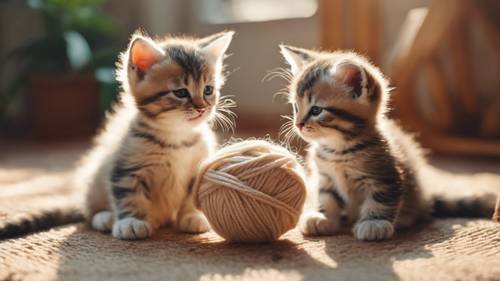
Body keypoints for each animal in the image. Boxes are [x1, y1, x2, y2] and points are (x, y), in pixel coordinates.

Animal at [75, 31, 234, 240]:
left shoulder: (198, 167)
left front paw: (192, 216)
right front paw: (131, 221)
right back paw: (105, 217)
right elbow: (129, 193)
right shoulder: (127, 165)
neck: (177, 137)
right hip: (95, 178)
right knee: (90, 210)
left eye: (208, 90)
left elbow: (193, 194)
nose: (202, 108)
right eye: (181, 92)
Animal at [280, 44, 494, 240]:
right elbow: (326, 197)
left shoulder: (385, 175)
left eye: (316, 110)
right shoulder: (325, 177)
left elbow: (382, 199)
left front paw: (374, 224)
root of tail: (425, 199)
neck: (337, 149)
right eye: (295, 107)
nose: (298, 124)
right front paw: (322, 217)